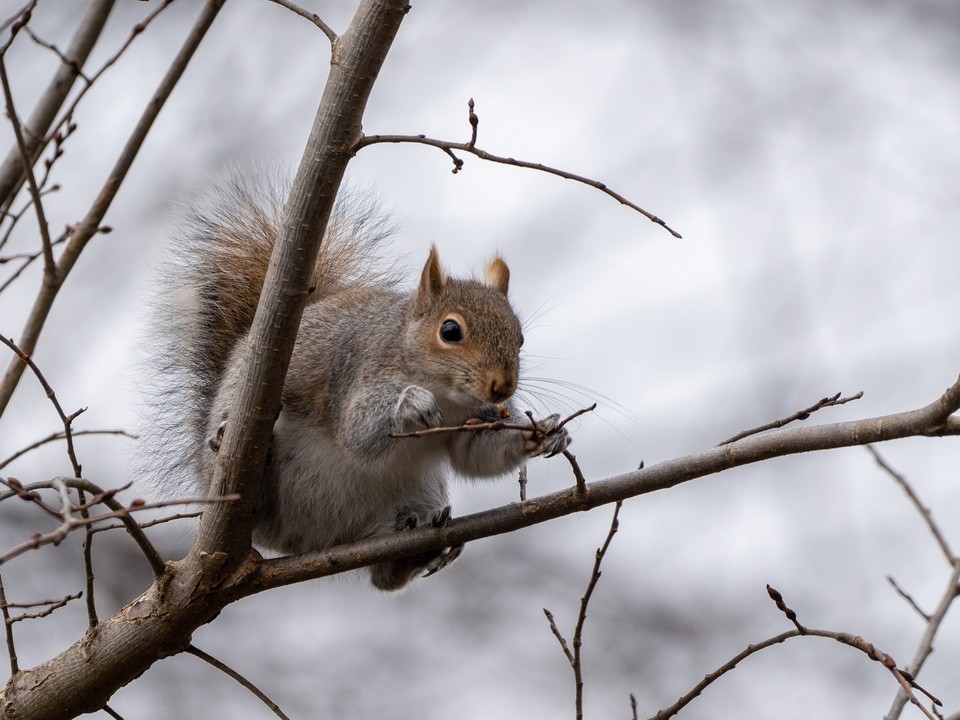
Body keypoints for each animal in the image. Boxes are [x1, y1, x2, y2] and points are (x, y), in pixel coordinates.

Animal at [148, 179, 568, 592]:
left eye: (520, 338)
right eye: (450, 331)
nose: (503, 388)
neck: (447, 395)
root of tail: (312, 540)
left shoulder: (473, 418)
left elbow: (475, 454)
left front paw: (545, 433)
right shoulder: (358, 372)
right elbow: (357, 434)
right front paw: (410, 404)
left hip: (416, 491)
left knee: (384, 577)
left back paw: (412, 550)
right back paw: (233, 444)